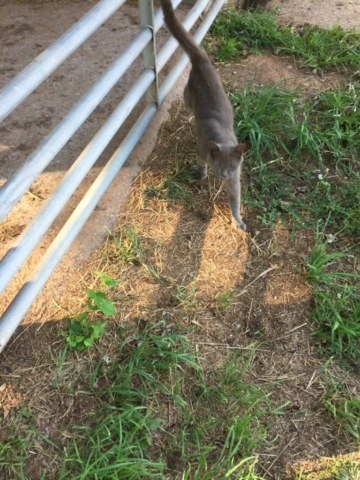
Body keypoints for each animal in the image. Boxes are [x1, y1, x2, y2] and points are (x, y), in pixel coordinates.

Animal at [162, 0, 246, 231]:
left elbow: (235, 199)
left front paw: (238, 222)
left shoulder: (235, 178)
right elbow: (200, 162)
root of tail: (203, 59)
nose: (223, 175)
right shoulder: (201, 149)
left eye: (231, 167)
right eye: (218, 165)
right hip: (187, 96)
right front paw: (201, 174)